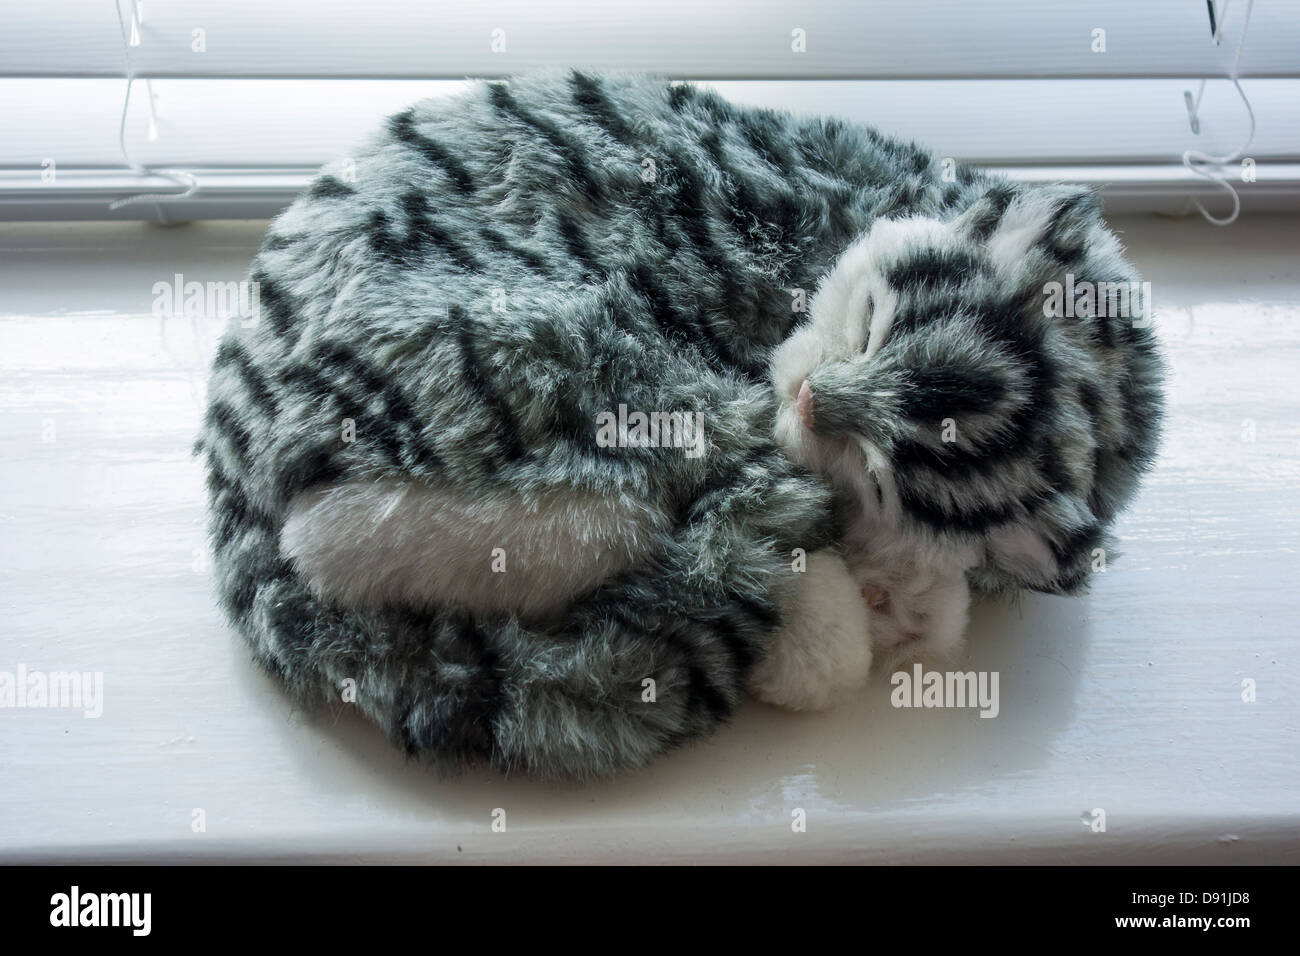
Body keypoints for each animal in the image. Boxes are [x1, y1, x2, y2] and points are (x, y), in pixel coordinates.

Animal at [205, 69, 1170, 780]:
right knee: (372, 531)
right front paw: (854, 606)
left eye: (885, 469)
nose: (815, 400)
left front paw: (893, 594)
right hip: (553, 353)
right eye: (872, 326)